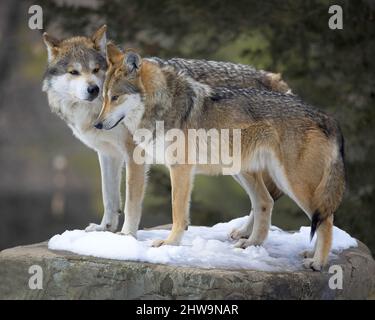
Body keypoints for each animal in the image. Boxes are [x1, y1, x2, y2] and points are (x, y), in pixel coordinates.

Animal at [41, 25, 346, 270]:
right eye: (103, 97)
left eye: (113, 95)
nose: (100, 122)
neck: (161, 108)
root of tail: (326, 116)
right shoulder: (109, 155)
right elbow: (110, 197)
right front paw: (105, 230)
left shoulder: (167, 165)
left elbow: (159, 207)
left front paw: (148, 241)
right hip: (244, 170)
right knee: (266, 202)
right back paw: (252, 244)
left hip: (292, 182)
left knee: (325, 218)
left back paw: (317, 261)